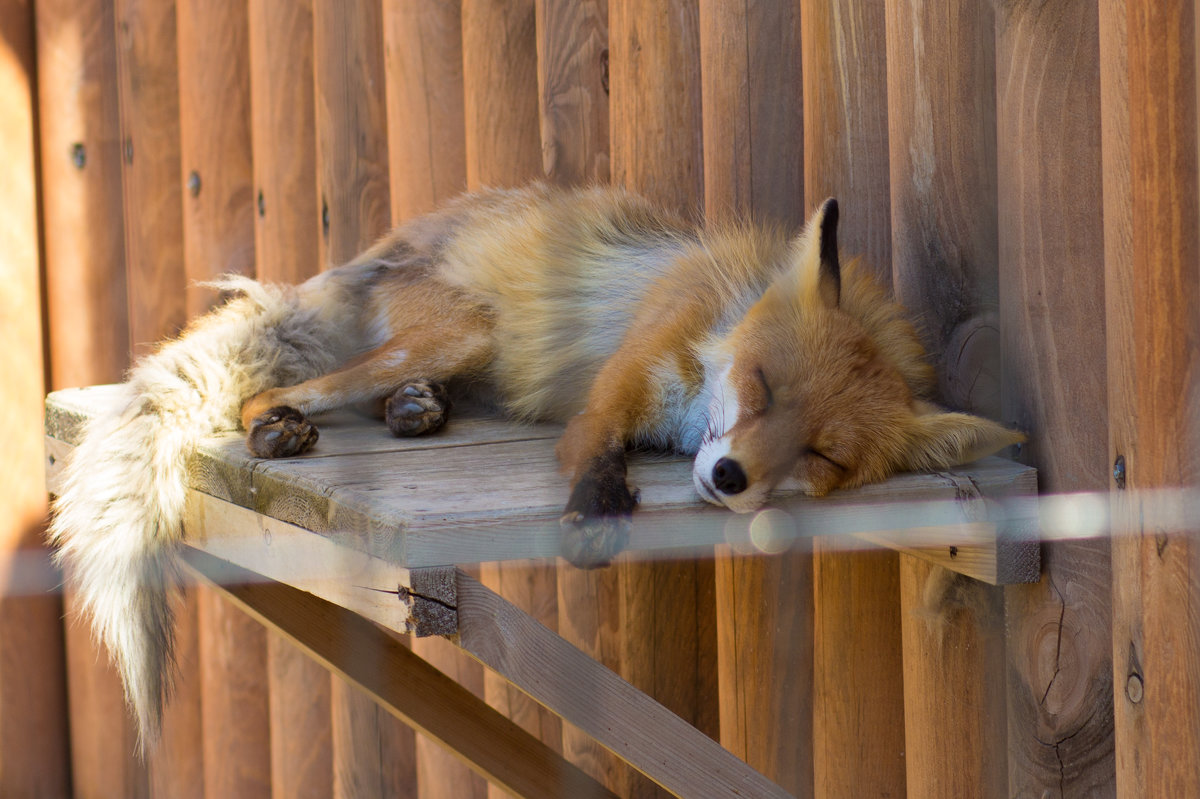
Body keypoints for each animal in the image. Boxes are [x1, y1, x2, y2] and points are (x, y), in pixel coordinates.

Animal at [49, 179, 1022, 739]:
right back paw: (282, 430)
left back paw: (413, 411)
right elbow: (596, 447)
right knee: (268, 397)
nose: (732, 478)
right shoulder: (625, 375)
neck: (719, 321)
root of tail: (382, 251)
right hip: (465, 331)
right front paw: (594, 514)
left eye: (821, 453)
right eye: (764, 386)